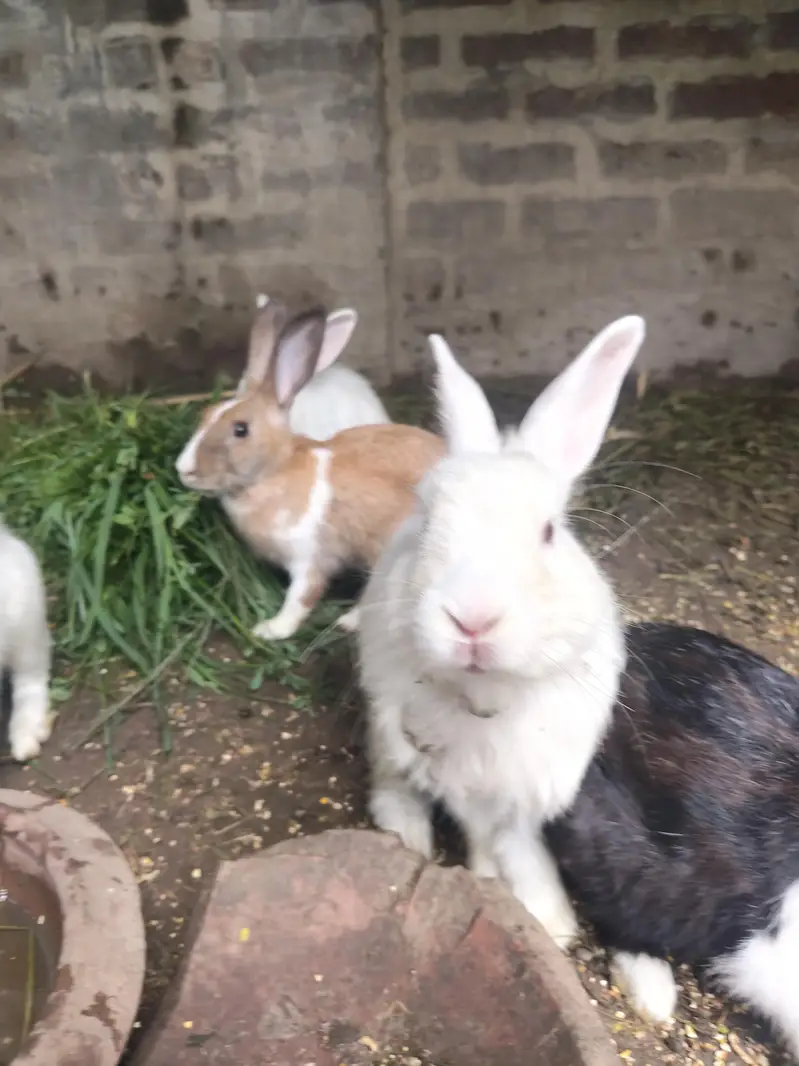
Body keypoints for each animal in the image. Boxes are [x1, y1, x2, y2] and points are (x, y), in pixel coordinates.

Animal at [355, 314, 799, 1058]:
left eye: (548, 532)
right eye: (427, 517)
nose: (471, 617)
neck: (489, 699)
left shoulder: (541, 786)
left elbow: (519, 849)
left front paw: (543, 915)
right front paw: (521, 905)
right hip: (388, 733)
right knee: (394, 787)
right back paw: (405, 839)